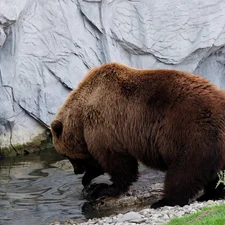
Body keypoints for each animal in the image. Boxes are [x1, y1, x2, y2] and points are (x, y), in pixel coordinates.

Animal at [50, 62, 225, 208]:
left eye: (65, 155)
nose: (76, 171)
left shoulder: (105, 125)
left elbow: (117, 162)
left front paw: (104, 188)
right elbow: (101, 163)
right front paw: (88, 182)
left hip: (193, 134)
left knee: (184, 172)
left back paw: (164, 201)